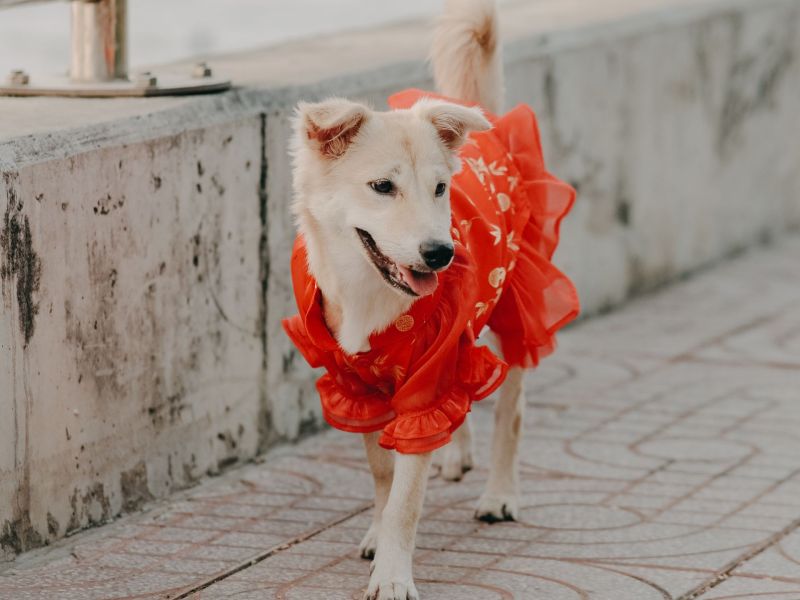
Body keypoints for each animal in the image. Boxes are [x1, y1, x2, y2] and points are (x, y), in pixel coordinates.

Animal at [284, 2, 580, 596]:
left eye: (441, 189)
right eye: (382, 187)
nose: (441, 254)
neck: (370, 295)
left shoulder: (424, 384)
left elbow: (406, 497)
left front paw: (393, 573)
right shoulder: (358, 387)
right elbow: (383, 472)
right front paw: (377, 537)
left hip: (515, 310)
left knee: (511, 410)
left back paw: (499, 494)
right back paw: (457, 455)